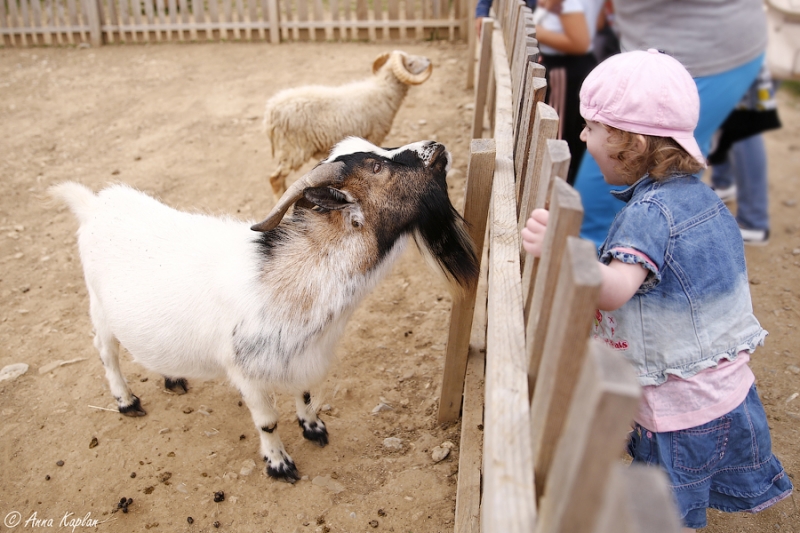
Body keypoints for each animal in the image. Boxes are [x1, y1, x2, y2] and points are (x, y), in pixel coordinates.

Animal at [50, 136, 478, 482]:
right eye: (376, 167)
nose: (436, 146)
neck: (288, 280)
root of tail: (94, 205)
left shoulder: (302, 357)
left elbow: (305, 396)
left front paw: (314, 429)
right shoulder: (246, 373)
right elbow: (268, 423)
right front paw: (279, 464)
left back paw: (172, 377)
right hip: (99, 308)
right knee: (107, 354)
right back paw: (126, 402)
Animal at [264, 50, 432, 200]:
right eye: (410, 63)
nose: (428, 60)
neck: (383, 91)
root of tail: (271, 111)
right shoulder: (374, 135)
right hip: (294, 150)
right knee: (275, 179)